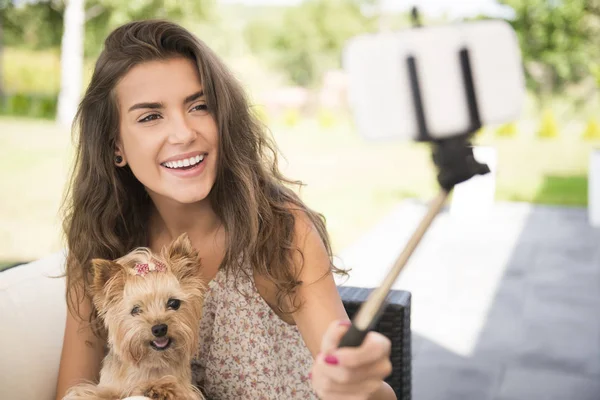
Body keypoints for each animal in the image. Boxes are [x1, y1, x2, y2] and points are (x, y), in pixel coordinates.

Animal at [64, 233, 207, 400]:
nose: (159, 328)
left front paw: (161, 388)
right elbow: (97, 392)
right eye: (136, 310)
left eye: (173, 303)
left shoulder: (189, 390)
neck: (152, 363)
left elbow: (178, 389)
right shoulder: (111, 386)